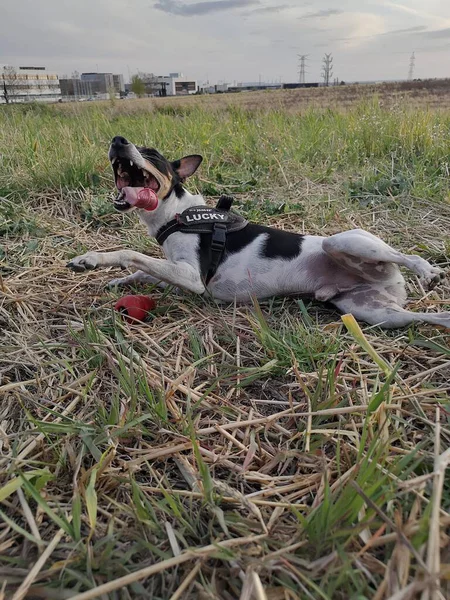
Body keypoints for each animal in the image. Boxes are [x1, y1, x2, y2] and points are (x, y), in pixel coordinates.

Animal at [67, 136, 450, 328]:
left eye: (153, 154)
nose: (118, 140)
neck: (176, 214)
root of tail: (391, 279)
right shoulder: (177, 275)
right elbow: (142, 271)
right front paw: (117, 279)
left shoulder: (192, 277)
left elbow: (132, 255)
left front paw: (94, 259)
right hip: (372, 312)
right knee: (425, 317)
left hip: (345, 242)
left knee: (406, 254)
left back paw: (427, 271)